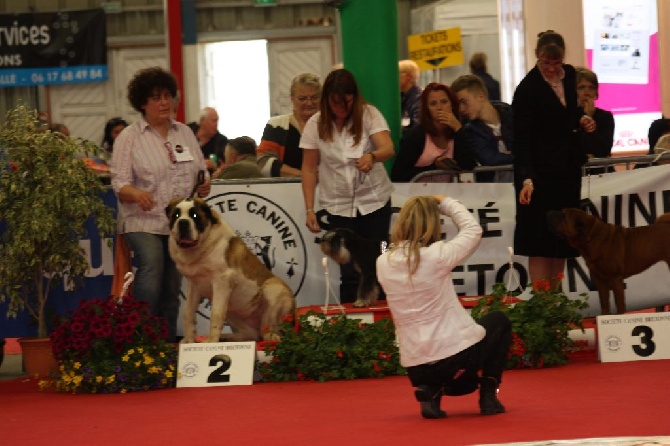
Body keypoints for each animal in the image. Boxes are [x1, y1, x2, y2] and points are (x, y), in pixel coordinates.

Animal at [167, 197, 296, 344]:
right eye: (176, 215)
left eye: (194, 216)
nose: (183, 222)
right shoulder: (194, 284)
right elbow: (188, 312)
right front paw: (189, 341)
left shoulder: (222, 281)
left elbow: (216, 313)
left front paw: (211, 342)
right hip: (233, 312)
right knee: (251, 335)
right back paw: (227, 338)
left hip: (273, 288)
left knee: (271, 327)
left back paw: (272, 336)